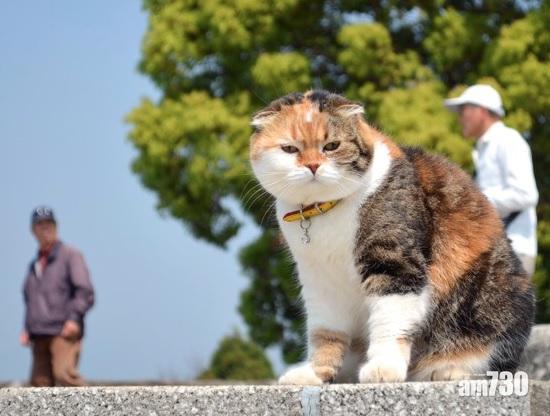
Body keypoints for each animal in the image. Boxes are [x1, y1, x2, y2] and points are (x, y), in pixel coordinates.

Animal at [249, 90, 534, 384]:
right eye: (289, 149)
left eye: (332, 146)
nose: (313, 166)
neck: (322, 213)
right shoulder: (319, 280)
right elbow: (325, 332)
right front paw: (316, 373)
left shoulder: (394, 260)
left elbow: (390, 318)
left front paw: (383, 368)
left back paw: (449, 370)